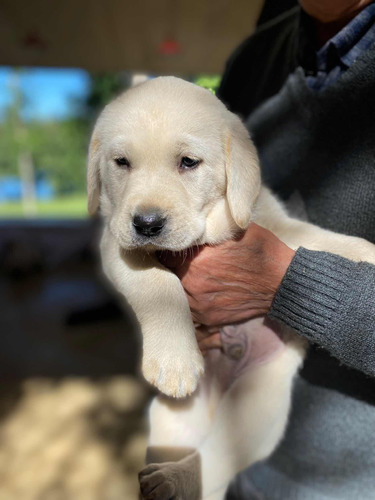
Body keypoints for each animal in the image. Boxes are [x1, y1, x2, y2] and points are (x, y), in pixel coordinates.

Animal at [87, 76, 375, 498]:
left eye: (188, 162)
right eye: (121, 163)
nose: (147, 224)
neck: (212, 227)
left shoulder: (272, 225)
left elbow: (318, 238)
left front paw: (367, 251)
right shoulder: (117, 245)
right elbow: (158, 282)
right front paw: (174, 360)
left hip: (256, 407)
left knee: (217, 458)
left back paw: (176, 480)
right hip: (173, 418)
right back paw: (170, 480)